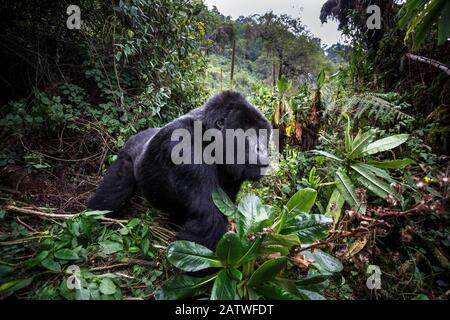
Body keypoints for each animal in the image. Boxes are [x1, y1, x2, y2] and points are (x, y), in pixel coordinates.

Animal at [87, 90, 270, 250]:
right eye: (249, 134)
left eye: (262, 134)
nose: (262, 149)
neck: (209, 136)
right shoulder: (185, 146)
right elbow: (209, 220)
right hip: (127, 155)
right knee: (112, 194)